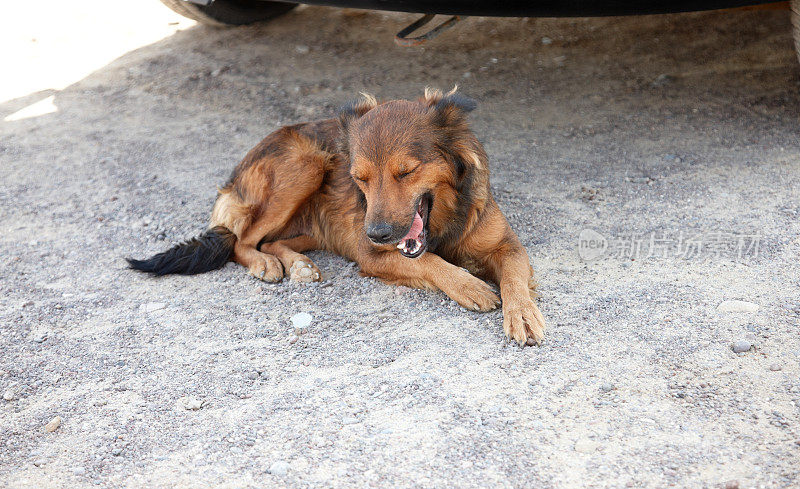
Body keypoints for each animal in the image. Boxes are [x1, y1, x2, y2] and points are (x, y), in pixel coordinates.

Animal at [128, 89, 548, 346]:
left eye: (406, 172)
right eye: (359, 177)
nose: (377, 233)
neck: (442, 221)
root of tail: (235, 176)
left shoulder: (507, 245)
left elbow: (512, 277)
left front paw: (522, 313)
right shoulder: (372, 256)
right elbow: (430, 262)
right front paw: (469, 286)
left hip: (315, 221)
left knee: (270, 240)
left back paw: (298, 264)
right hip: (306, 163)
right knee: (242, 240)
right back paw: (265, 264)